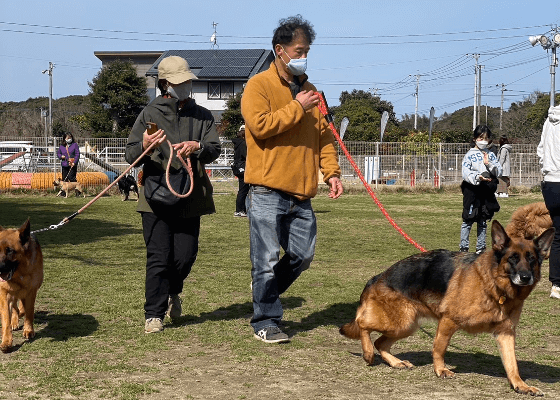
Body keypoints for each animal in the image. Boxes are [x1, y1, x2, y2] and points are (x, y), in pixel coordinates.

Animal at [0, 219, 43, 354]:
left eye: (9, 250)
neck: (19, 274)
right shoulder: (4, 294)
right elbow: (6, 319)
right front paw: (6, 342)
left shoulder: (31, 292)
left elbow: (28, 312)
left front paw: (28, 330)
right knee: (14, 306)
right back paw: (14, 321)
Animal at [340, 220, 552, 396]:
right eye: (513, 258)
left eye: (532, 259)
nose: (525, 277)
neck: (494, 286)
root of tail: (378, 277)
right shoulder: (448, 321)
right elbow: (439, 348)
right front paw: (440, 370)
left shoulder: (505, 333)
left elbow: (512, 364)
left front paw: (521, 385)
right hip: (401, 321)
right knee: (362, 324)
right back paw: (368, 354)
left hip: (406, 326)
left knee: (380, 343)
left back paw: (395, 362)